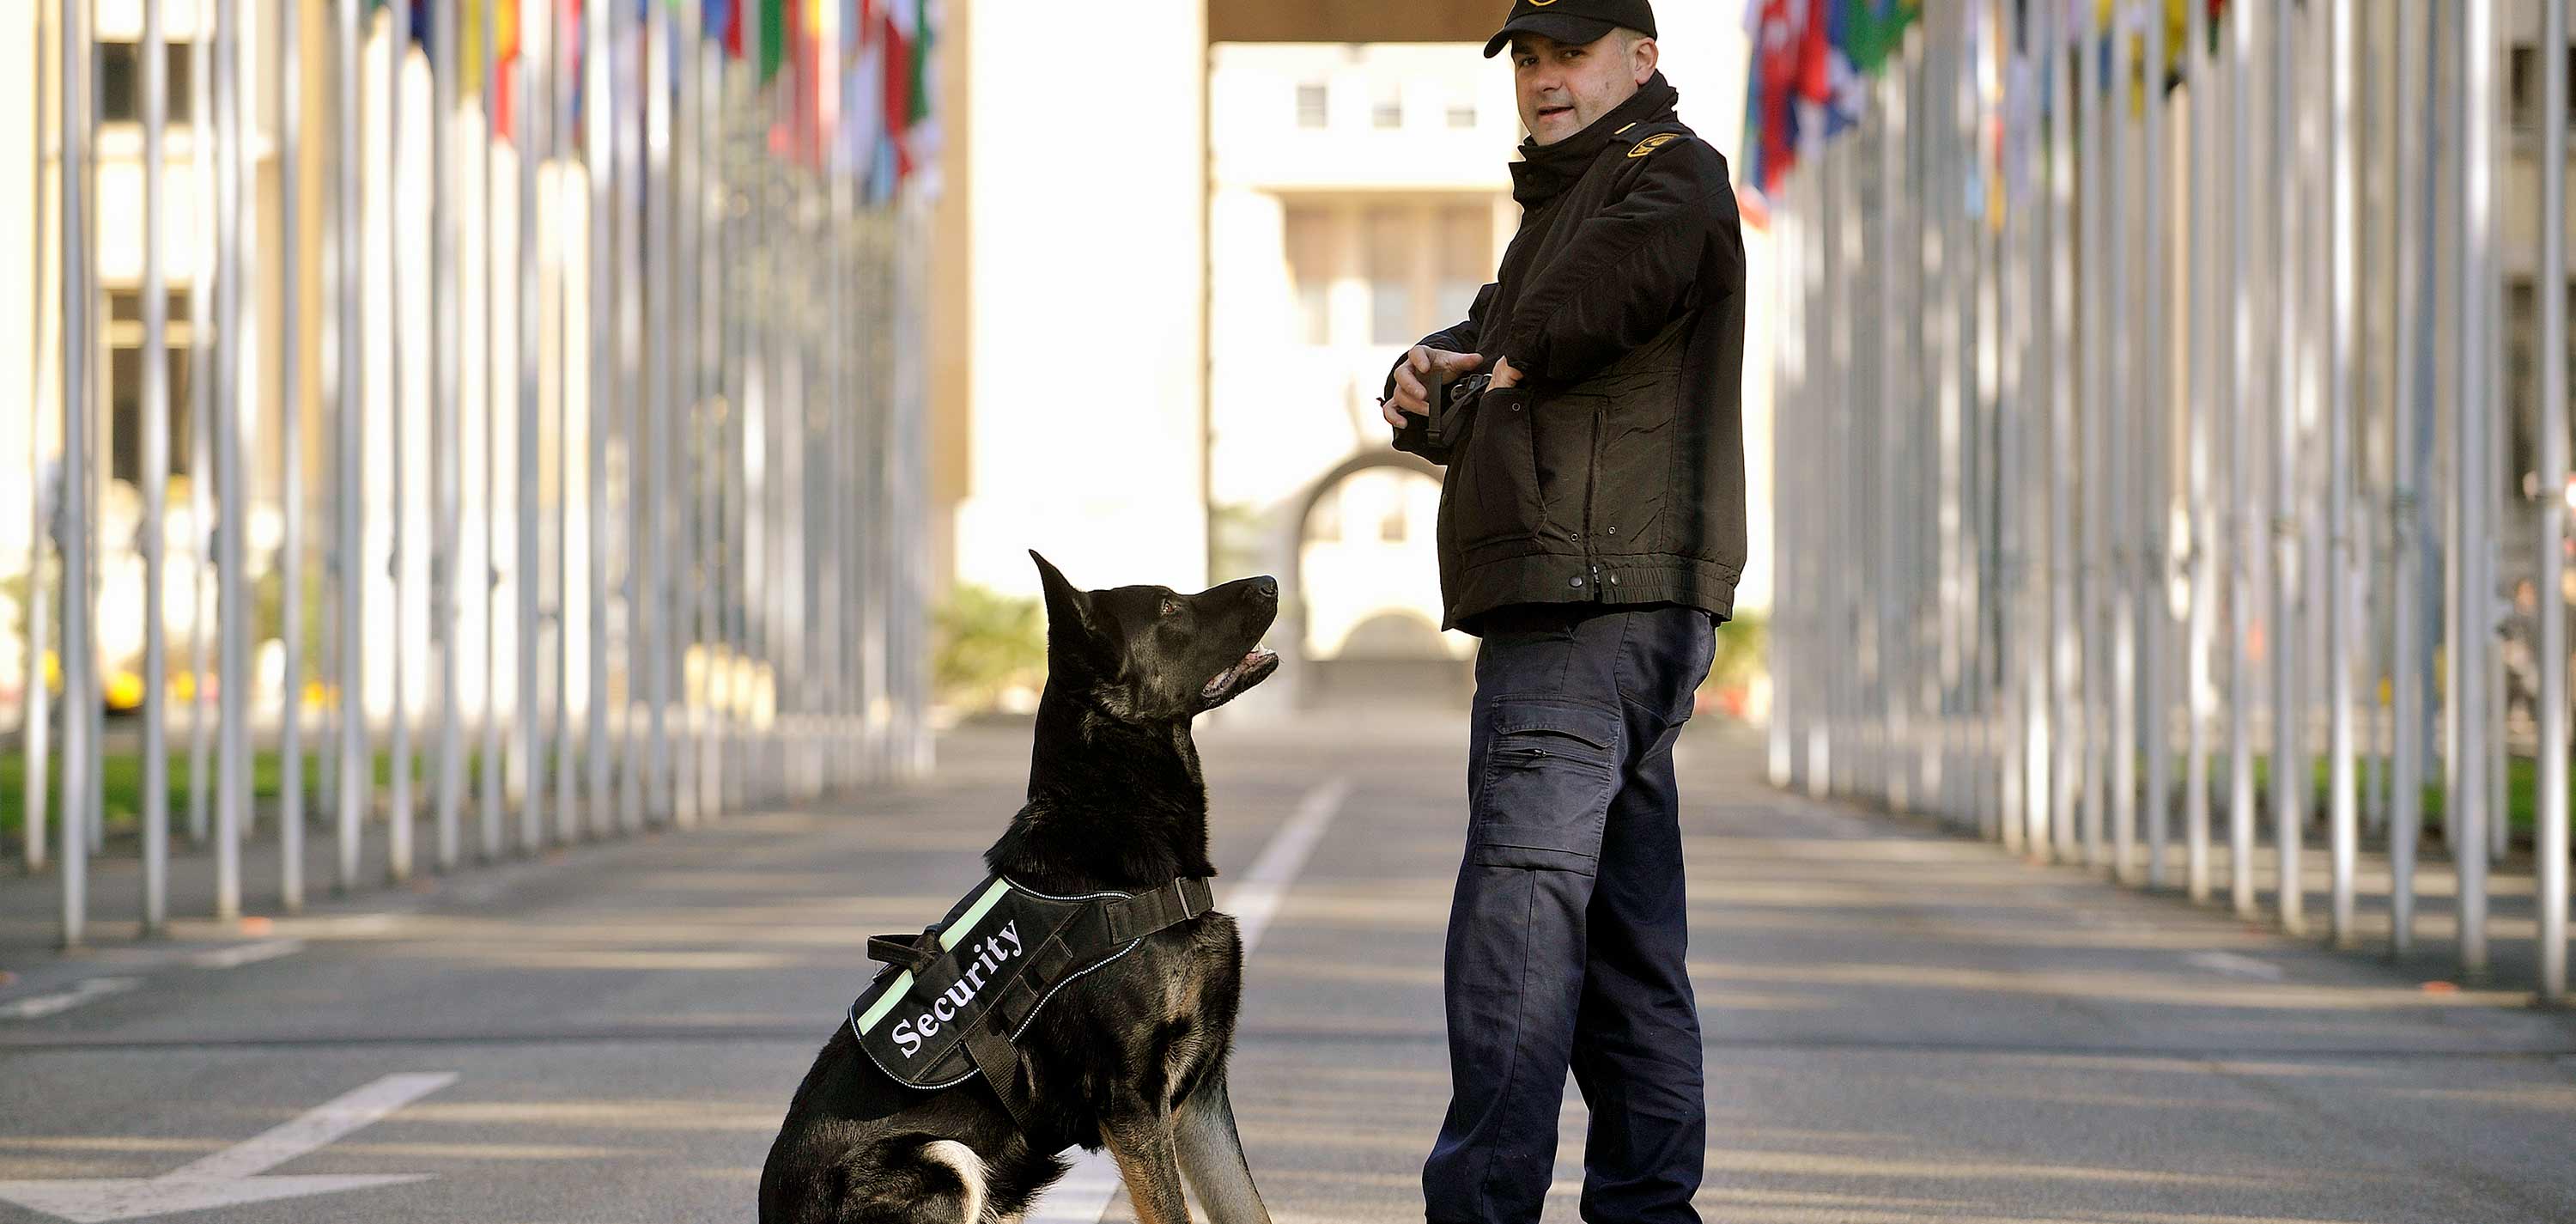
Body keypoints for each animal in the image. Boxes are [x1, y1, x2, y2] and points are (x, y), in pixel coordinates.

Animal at [762, 554, 1288, 1224]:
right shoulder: (1134, 1104)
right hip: (946, 1162)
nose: (1271, 582)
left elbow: (1247, 1207)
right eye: (1169, 605)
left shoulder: (1198, 1101)